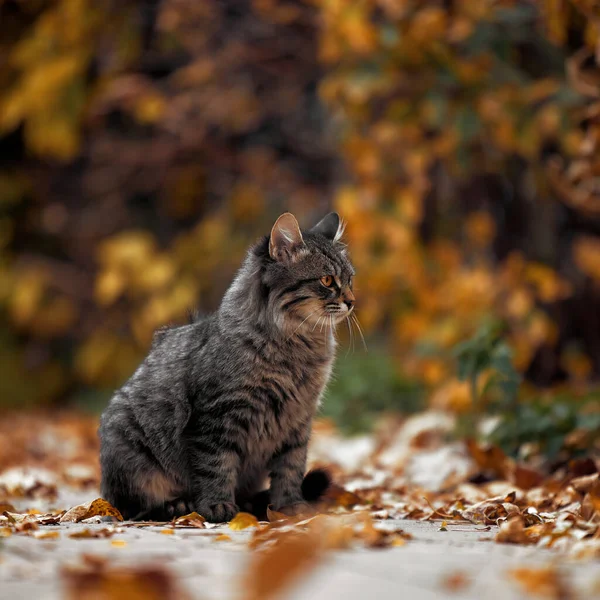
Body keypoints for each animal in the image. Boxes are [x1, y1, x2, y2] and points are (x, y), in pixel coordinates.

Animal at [97, 213, 356, 524]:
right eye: (327, 280)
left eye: (351, 280)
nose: (352, 301)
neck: (298, 349)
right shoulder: (216, 418)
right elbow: (216, 466)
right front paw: (217, 506)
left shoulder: (298, 419)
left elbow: (290, 468)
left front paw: (290, 507)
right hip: (130, 456)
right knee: (134, 507)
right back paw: (178, 506)